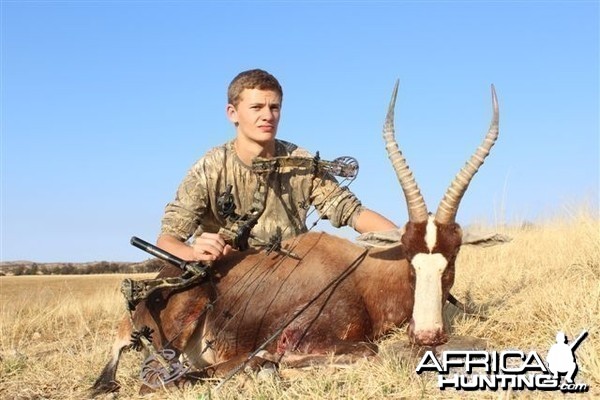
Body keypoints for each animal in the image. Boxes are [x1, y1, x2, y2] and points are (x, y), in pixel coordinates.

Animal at [91, 82, 500, 394]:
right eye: (410, 259)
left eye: (453, 257)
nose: (428, 336)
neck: (360, 275)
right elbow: (365, 351)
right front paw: (279, 362)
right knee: (157, 381)